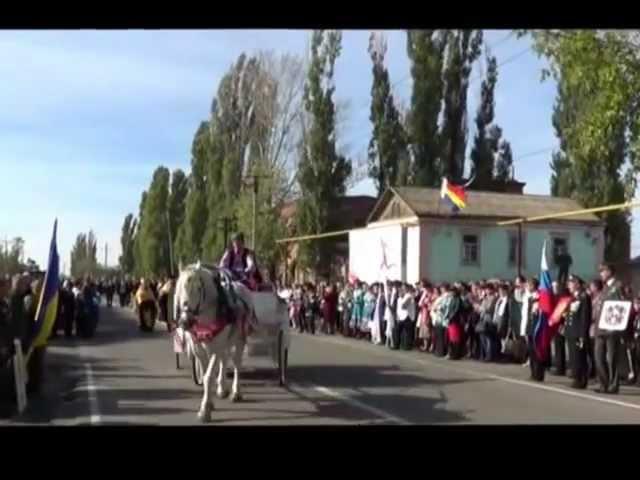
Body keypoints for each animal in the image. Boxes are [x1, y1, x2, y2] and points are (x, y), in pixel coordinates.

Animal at [175, 262, 255, 424]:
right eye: (179, 288)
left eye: (198, 288)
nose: (185, 322)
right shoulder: (199, 348)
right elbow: (206, 373)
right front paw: (209, 403)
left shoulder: (216, 346)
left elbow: (208, 377)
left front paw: (204, 410)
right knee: (224, 360)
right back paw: (222, 388)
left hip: (239, 338)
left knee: (236, 363)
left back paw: (236, 392)